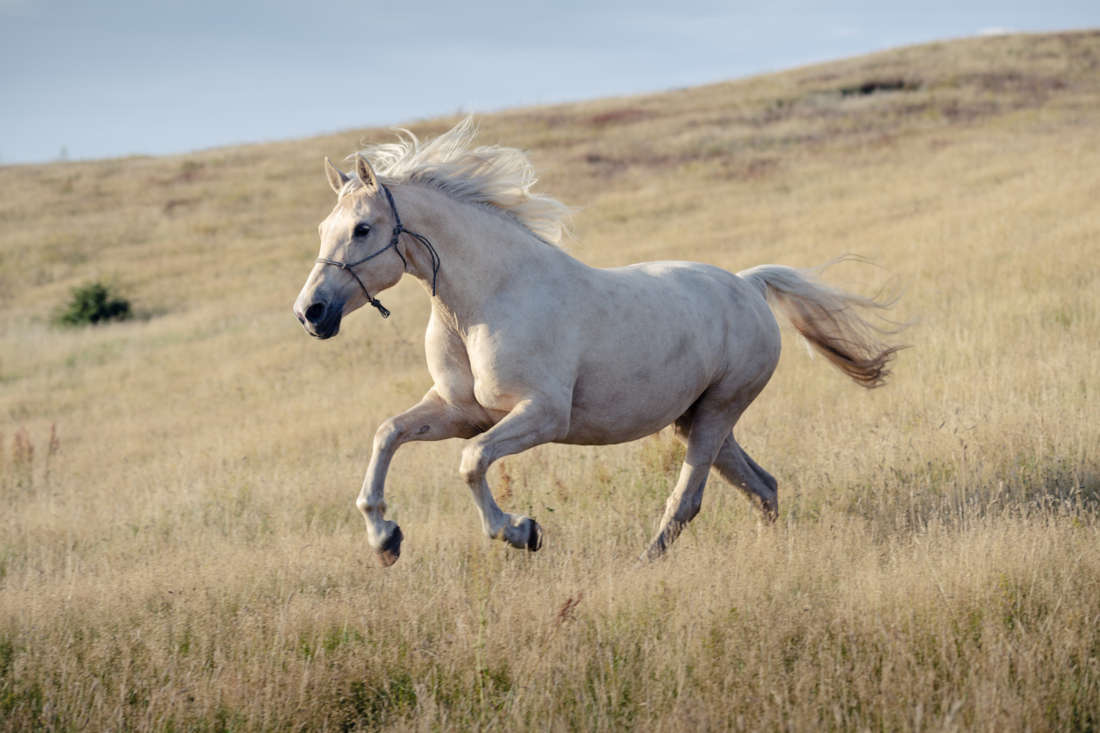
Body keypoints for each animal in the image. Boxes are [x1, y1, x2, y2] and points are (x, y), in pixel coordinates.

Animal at [293, 119, 901, 565]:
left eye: (363, 229)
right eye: (324, 229)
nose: (310, 313)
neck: (488, 301)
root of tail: (749, 284)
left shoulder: (541, 415)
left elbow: (471, 462)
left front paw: (522, 531)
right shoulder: (459, 411)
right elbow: (389, 433)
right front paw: (385, 540)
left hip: (718, 412)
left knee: (689, 499)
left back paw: (644, 563)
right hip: (696, 419)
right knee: (763, 486)